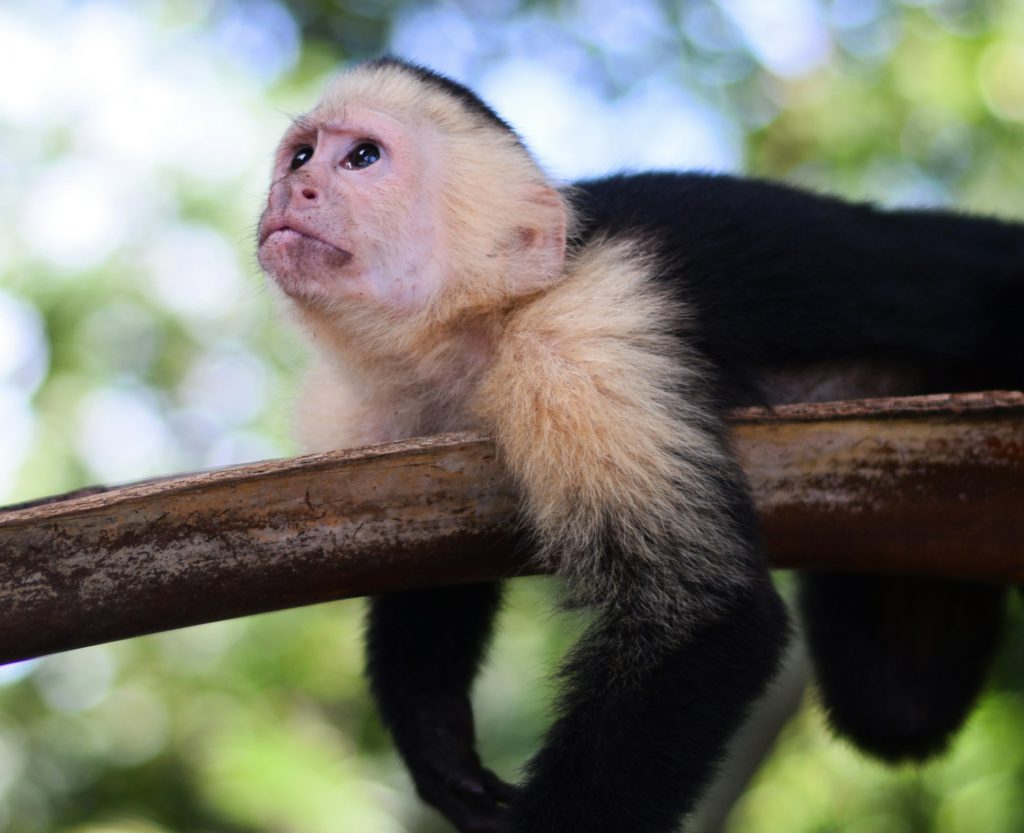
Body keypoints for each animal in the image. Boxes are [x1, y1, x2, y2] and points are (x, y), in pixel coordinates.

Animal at [256, 57, 1022, 833]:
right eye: (301, 156)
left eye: (363, 157)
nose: (297, 187)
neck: (481, 328)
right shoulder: (383, 419)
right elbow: (423, 557)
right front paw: (437, 741)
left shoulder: (578, 346)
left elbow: (705, 612)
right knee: (898, 704)